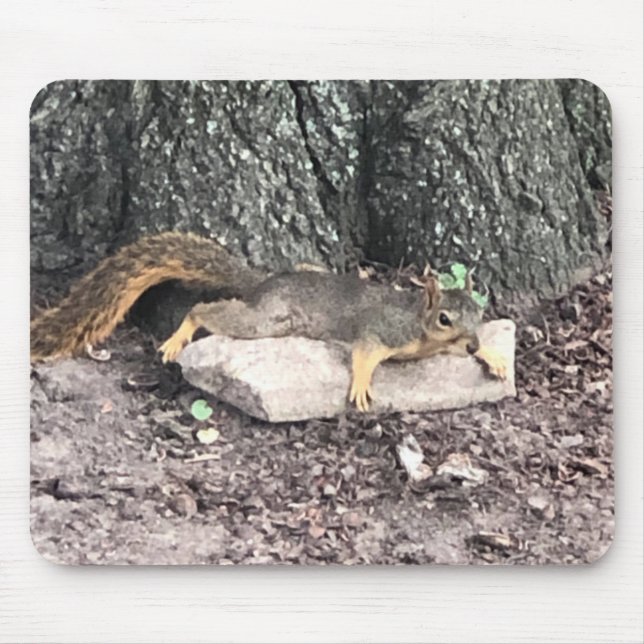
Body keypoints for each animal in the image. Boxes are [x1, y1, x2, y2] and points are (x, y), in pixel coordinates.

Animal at [30, 232, 507, 411]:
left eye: (479, 314)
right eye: (444, 318)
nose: (468, 344)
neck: (420, 325)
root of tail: (264, 282)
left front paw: (494, 356)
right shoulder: (384, 328)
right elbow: (364, 352)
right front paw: (360, 384)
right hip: (267, 320)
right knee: (204, 311)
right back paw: (177, 338)